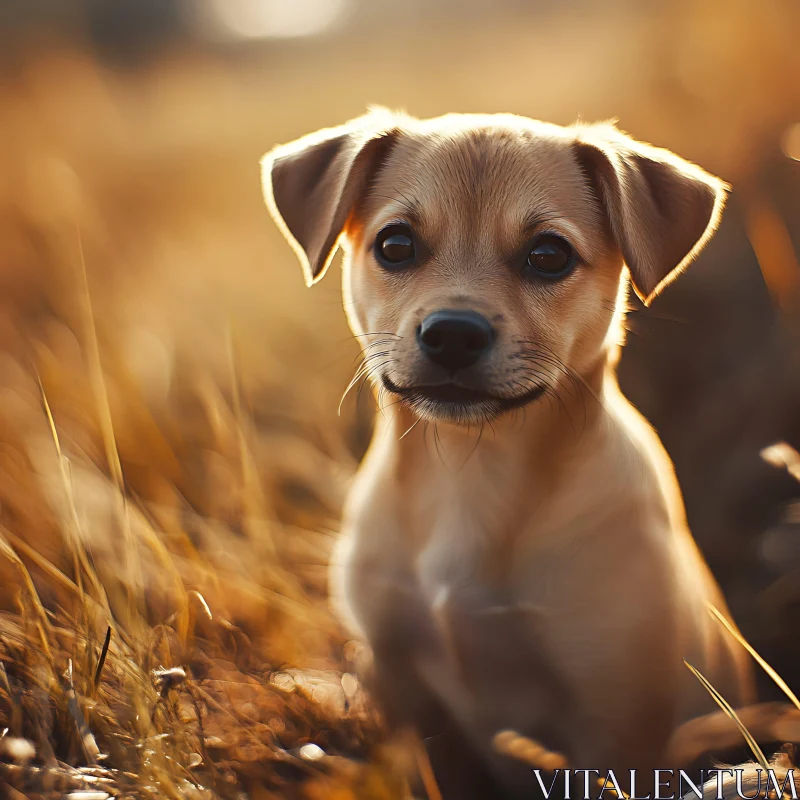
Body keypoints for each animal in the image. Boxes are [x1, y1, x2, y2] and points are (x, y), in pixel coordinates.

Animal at [260, 109, 764, 796]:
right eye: (395, 245)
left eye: (549, 255)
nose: (452, 333)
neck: (471, 471)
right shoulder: (404, 690)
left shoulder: (621, 721)